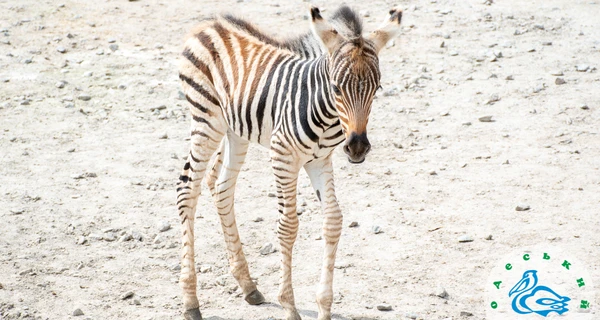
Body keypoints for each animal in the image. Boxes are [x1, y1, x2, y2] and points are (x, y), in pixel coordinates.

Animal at [177, 5, 404, 320]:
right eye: (336, 87)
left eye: (377, 87)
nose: (358, 147)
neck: (326, 113)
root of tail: (208, 24)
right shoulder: (282, 154)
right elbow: (288, 226)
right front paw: (288, 305)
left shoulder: (320, 160)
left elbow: (333, 221)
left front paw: (324, 307)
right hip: (206, 119)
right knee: (187, 189)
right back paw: (190, 301)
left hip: (236, 129)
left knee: (221, 187)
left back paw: (248, 286)